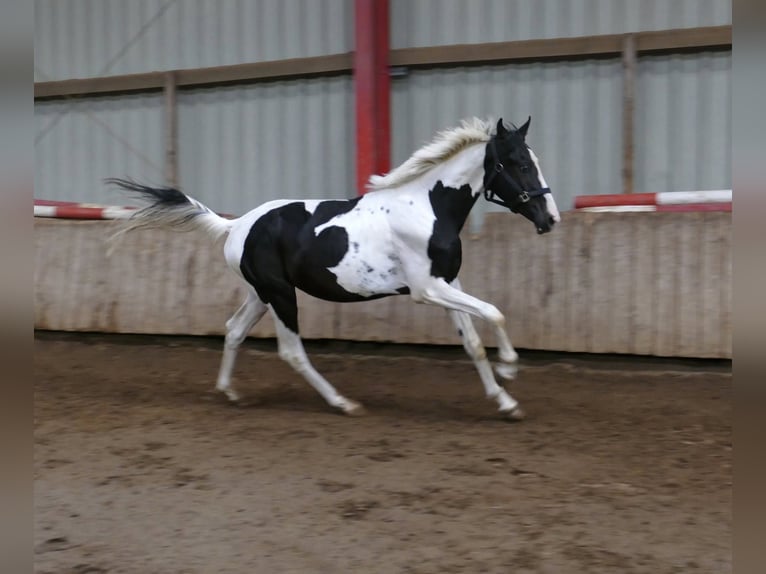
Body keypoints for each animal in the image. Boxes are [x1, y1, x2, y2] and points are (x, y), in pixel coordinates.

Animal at [107, 116, 560, 421]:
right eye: (519, 163)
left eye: (534, 160)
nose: (550, 218)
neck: (427, 207)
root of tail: (236, 225)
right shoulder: (427, 290)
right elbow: (494, 313)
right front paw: (510, 367)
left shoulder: (449, 283)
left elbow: (473, 343)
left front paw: (507, 403)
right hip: (281, 295)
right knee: (292, 351)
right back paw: (343, 403)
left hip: (262, 294)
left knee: (233, 330)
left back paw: (231, 393)